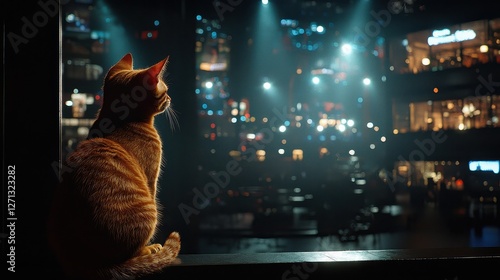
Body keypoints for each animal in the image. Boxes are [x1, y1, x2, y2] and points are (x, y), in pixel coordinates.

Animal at [47, 53, 181, 280]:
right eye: (166, 91)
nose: (171, 98)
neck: (118, 120)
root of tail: (89, 264)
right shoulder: (151, 179)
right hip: (149, 209)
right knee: (132, 253)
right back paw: (148, 249)